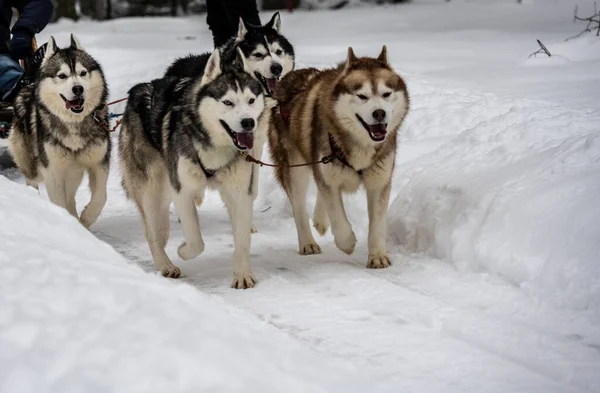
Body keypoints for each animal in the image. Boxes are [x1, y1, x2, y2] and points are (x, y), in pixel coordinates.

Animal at [7, 35, 110, 228]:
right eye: (62, 76)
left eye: (83, 73)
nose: (78, 88)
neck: (73, 123)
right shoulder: (53, 170)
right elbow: (59, 202)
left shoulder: (98, 162)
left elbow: (101, 196)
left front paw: (86, 218)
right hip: (30, 163)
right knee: (32, 181)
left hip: (73, 172)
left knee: (71, 197)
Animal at [118, 49, 264, 288]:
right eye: (228, 102)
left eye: (251, 100)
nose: (248, 122)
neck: (214, 146)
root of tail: (138, 90)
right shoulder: (182, 191)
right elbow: (196, 241)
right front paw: (183, 251)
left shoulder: (239, 192)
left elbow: (242, 239)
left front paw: (242, 275)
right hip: (153, 188)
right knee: (153, 233)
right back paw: (165, 264)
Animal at [268, 45, 408, 266]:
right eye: (362, 96)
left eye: (386, 94)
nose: (379, 113)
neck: (360, 145)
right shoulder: (329, 180)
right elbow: (338, 220)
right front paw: (348, 243)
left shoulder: (379, 181)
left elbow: (377, 225)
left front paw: (377, 255)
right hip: (293, 168)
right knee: (299, 206)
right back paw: (308, 242)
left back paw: (319, 220)